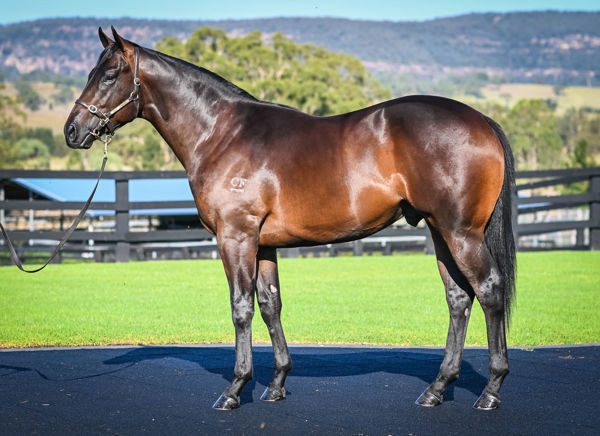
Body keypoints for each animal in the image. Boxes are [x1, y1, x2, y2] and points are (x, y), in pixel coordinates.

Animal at [64, 28, 516, 412]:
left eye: (109, 76)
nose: (72, 130)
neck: (221, 133)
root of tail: (482, 121)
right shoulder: (264, 244)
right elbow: (270, 306)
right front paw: (277, 384)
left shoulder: (236, 237)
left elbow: (241, 308)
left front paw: (235, 389)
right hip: (440, 231)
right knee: (458, 299)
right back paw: (437, 389)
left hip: (461, 233)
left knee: (489, 291)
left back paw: (491, 391)